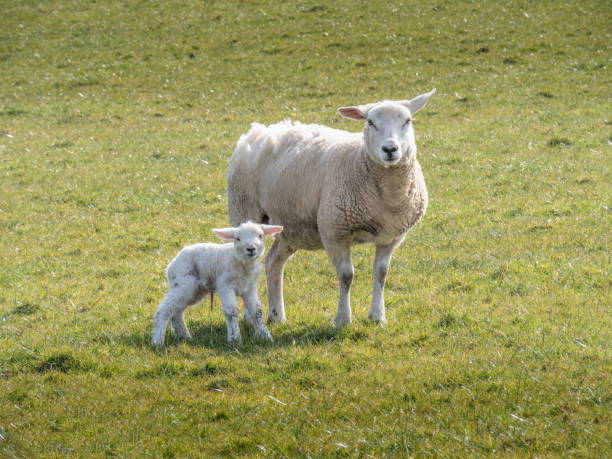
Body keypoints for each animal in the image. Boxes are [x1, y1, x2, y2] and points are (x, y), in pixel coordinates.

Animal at [149, 221, 284, 346]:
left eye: (260, 235)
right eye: (237, 238)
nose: (250, 249)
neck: (241, 263)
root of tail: (171, 265)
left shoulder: (249, 287)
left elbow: (257, 311)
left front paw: (266, 337)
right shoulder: (225, 285)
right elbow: (232, 311)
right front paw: (235, 339)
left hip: (193, 291)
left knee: (176, 312)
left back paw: (184, 337)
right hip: (183, 284)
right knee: (164, 309)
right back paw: (157, 341)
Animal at [226, 89, 436, 328]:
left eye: (407, 121)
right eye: (370, 122)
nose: (390, 149)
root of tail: (259, 130)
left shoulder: (390, 237)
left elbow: (381, 274)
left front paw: (377, 316)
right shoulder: (335, 231)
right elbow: (346, 276)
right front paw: (343, 319)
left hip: (291, 227)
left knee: (273, 262)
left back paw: (277, 315)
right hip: (243, 209)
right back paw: (249, 316)